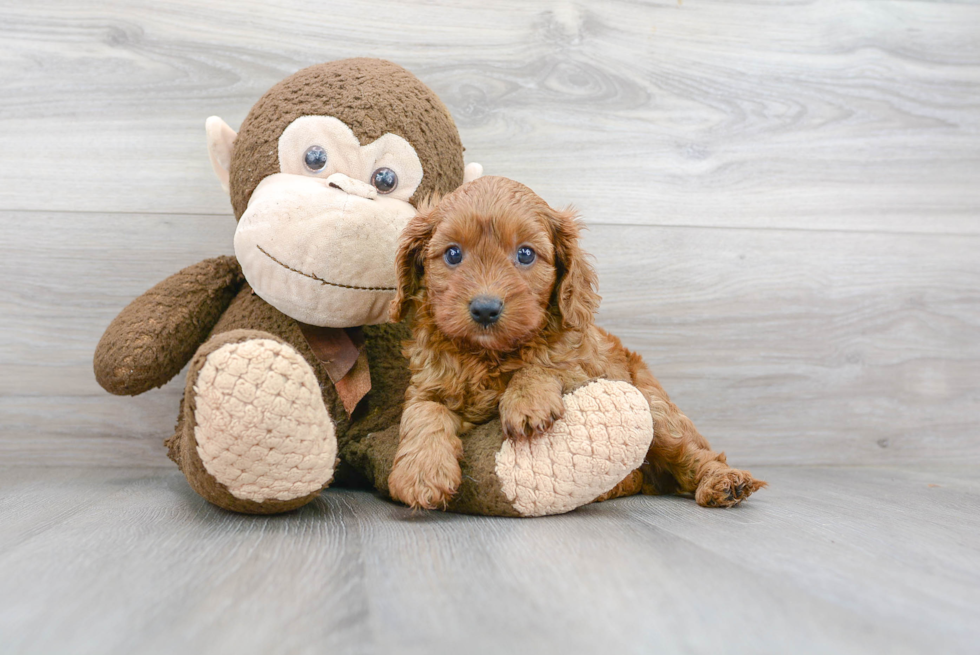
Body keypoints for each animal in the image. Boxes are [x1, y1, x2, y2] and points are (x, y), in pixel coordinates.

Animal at [386, 178, 760, 512]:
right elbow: (424, 412)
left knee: (693, 454)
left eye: (525, 254)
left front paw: (528, 401)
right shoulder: (427, 383)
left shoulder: (587, 368)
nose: (485, 308)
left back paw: (723, 482)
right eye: (453, 254)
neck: (490, 354)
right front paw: (421, 474)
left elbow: (544, 365)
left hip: (656, 409)